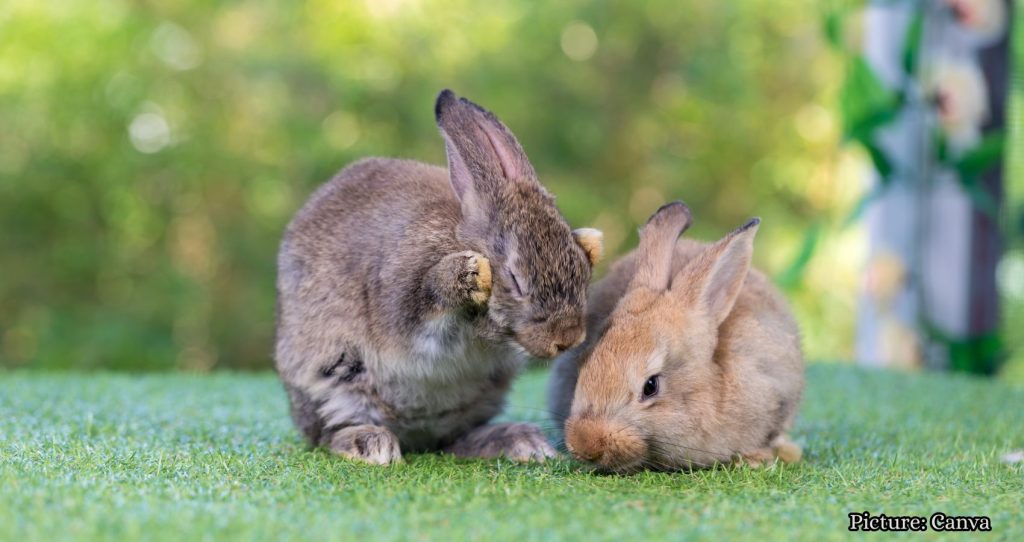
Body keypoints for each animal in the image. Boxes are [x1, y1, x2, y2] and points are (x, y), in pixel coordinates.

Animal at [275, 90, 603, 465]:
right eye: (516, 280)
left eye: (580, 269)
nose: (567, 339)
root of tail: (417, 437)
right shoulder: (404, 301)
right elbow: (425, 296)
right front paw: (468, 273)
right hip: (334, 381)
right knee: (330, 433)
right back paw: (372, 445)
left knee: (454, 440)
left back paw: (518, 441)